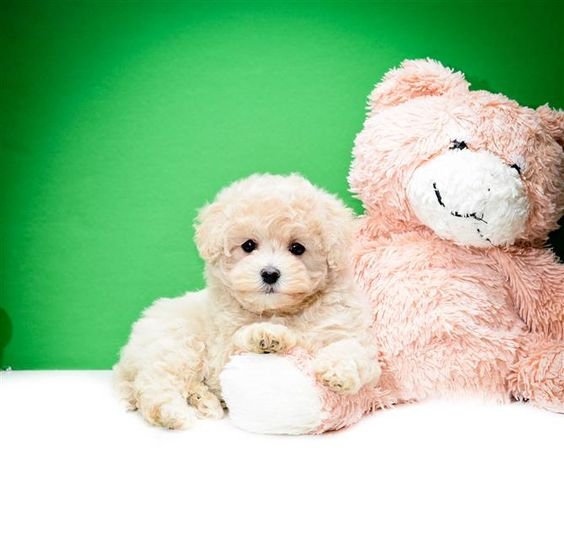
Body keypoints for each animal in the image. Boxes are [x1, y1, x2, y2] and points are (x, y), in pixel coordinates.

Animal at [113, 175, 382, 430]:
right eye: (248, 245)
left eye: (297, 248)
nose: (270, 273)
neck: (282, 310)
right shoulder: (222, 348)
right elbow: (241, 337)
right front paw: (267, 334)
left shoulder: (346, 327)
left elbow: (354, 349)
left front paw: (338, 372)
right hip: (178, 345)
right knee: (154, 384)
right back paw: (172, 414)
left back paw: (204, 402)